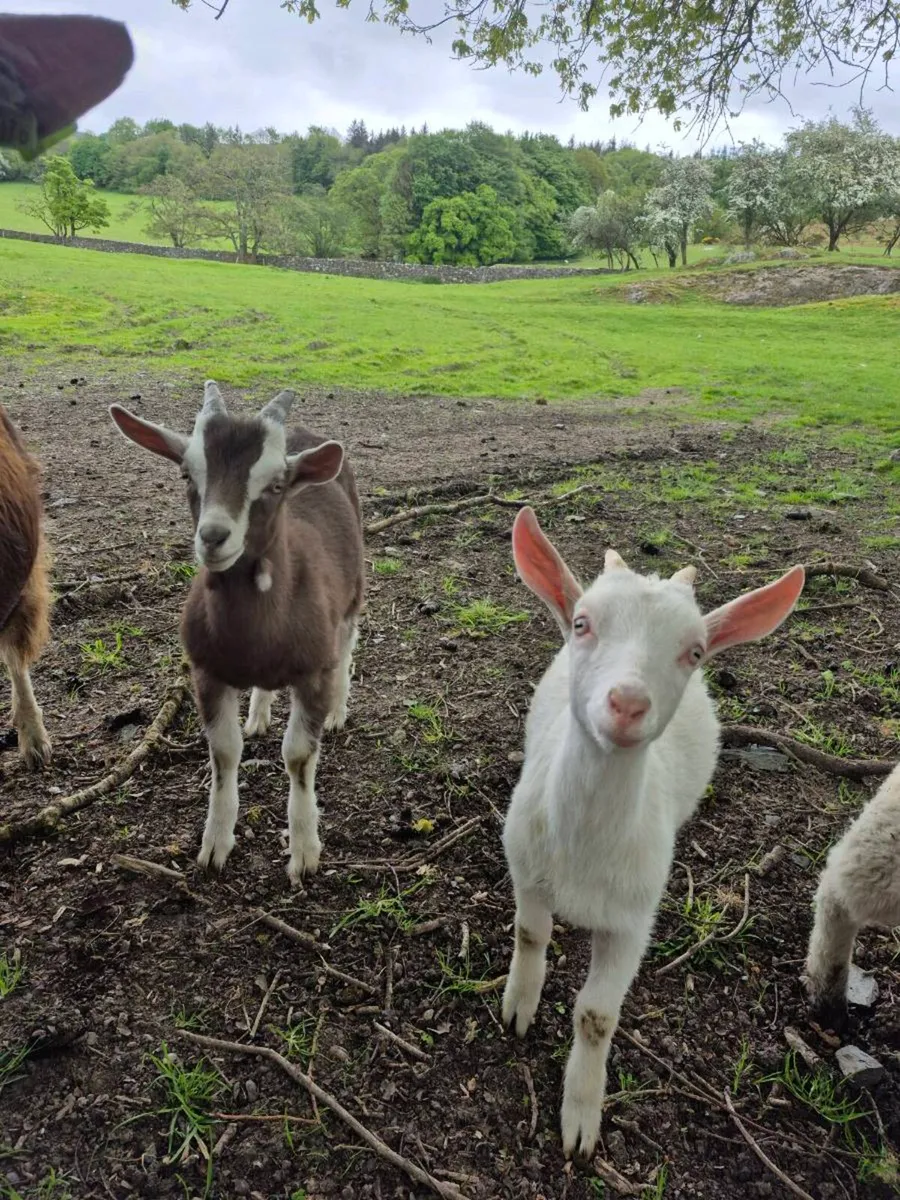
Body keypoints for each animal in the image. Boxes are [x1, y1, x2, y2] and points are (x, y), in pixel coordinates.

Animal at [109, 381, 365, 882]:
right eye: (186, 474)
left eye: (276, 484)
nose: (213, 536)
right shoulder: (206, 671)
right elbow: (224, 752)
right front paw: (214, 846)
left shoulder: (314, 670)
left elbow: (298, 755)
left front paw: (304, 852)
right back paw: (259, 714)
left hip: (352, 598)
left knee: (347, 648)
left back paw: (337, 712)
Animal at [501, 506, 804, 1159]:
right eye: (583, 623)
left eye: (694, 652)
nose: (628, 702)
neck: (583, 850)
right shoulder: (526, 865)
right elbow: (531, 934)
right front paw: (519, 1007)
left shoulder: (633, 920)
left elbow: (595, 1016)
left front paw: (580, 1121)